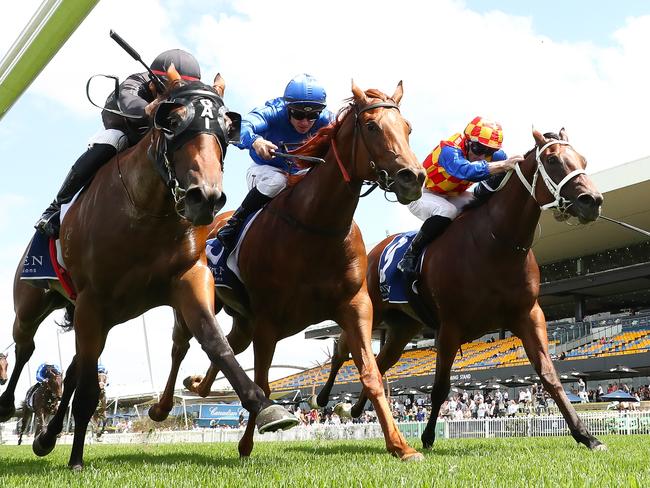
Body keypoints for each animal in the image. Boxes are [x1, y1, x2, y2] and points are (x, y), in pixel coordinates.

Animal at [0, 66, 294, 468]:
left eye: (226, 126)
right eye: (172, 120)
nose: (205, 197)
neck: (147, 212)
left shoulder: (188, 279)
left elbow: (214, 340)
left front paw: (265, 406)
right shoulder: (93, 299)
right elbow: (87, 391)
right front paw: (76, 460)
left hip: (100, 317)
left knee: (74, 368)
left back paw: (46, 437)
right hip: (34, 300)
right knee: (25, 347)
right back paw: (8, 406)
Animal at [150, 81, 428, 462]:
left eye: (408, 128)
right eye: (372, 127)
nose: (413, 177)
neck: (316, 227)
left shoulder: (356, 306)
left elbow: (371, 373)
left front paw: (401, 446)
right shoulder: (268, 321)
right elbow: (264, 383)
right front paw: (249, 441)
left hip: (243, 317)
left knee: (228, 344)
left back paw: (198, 385)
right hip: (201, 297)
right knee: (182, 345)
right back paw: (162, 406)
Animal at [316, 129, 604, 450]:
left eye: (583, 160)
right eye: (553, 160)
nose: (592, 200)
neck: (496, 242)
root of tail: (376, 250)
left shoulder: (528, 316)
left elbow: (549, 375)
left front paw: (586, 435)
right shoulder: (450, 327)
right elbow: (440, 387)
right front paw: (428, 436)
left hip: (403, 328)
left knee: (379, 362)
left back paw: (354, 408)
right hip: (369, 309)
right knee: (343, 350)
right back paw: (325, 398)